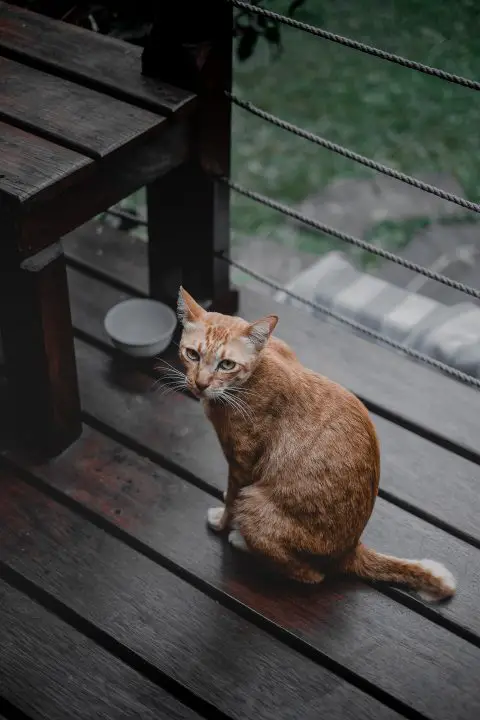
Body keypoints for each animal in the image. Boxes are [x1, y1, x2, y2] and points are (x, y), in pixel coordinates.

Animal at [177, 286, 458, 600]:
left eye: (226, 364)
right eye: (192, 354)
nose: (200, 384)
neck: (250, 377)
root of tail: (350, 550)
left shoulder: (241, 464)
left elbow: (230, 500)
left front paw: (222, 523)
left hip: (254, 504)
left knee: (311, 575)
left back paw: (242, 541)